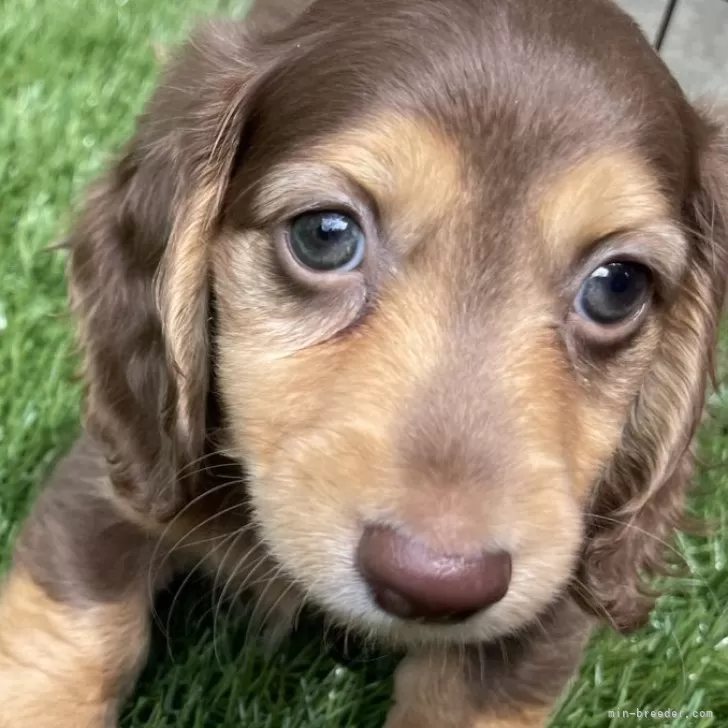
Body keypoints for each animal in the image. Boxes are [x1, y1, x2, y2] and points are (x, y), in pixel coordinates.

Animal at [1, 0, 728, 724]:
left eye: (619, 286)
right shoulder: (108, 481)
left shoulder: (542, 615)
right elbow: (63, 645)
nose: (435, 584)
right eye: (325, 235)